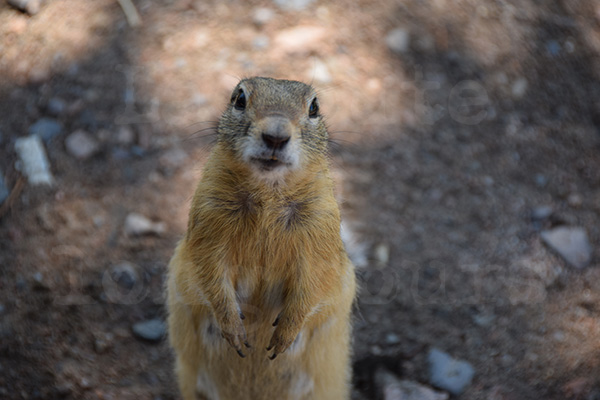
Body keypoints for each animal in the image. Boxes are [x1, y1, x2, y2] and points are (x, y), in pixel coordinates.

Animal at [166, 76, 356, 398]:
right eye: (239, 99)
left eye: (314, 107)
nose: (276, 137)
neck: (269, 193)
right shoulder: (208, 222)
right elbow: (210, 273)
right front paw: (233, 328)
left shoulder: (320, 229)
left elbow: (315, 281)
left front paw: (284, 335)